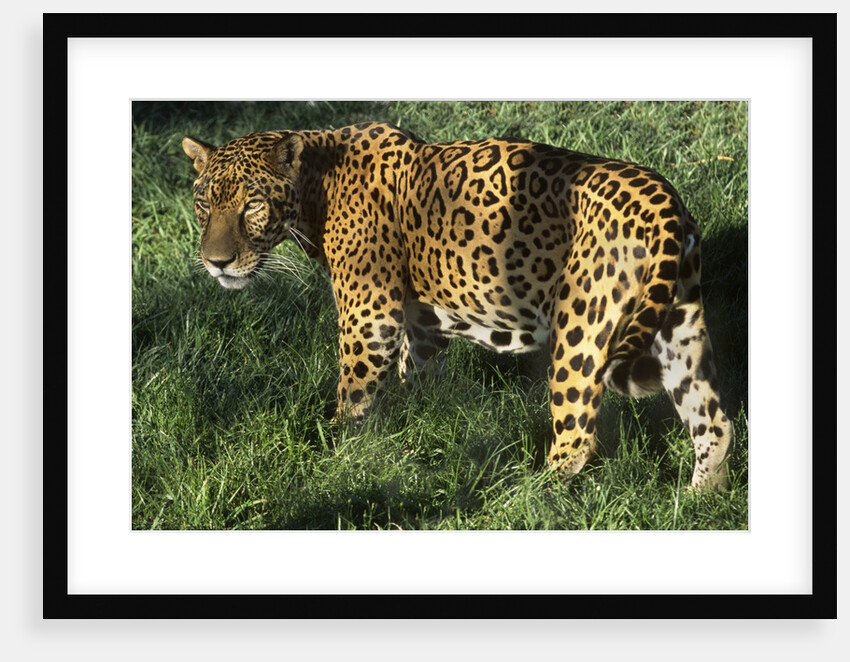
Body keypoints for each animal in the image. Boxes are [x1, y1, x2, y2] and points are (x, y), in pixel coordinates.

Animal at [182, 121, 734, 490]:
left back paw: (528, 499)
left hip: (581, 331)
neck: (317, 185)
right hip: (678, 323)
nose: (216, 263)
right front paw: (420, 429)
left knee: (577, 438)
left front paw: (333, 454)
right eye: (204, 204)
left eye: (253, 205)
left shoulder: (369, 315)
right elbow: (417, 376)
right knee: (713, 423)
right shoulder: (419, 321)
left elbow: (353, 394)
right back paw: (698, 503)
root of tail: (663, 199)